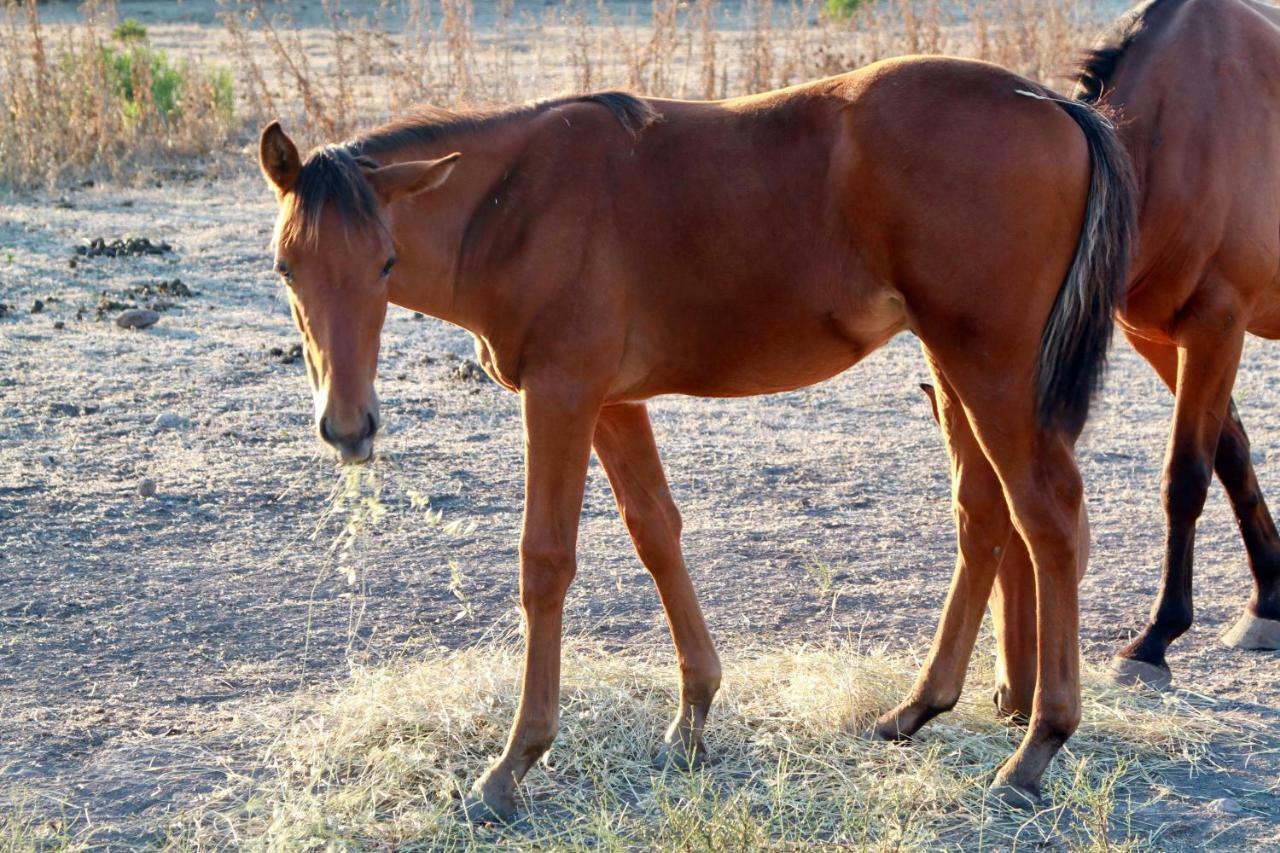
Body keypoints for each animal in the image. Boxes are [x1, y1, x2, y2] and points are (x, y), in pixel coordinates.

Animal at [257, 59, 1131, 819]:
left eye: (385, 262)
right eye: (285, 269)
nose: (348, 426)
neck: (517, 202)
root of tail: (1055, 106)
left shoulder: (561, 394)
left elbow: (545, 561)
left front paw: (513, 764)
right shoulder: (613, 403)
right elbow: (657, 533)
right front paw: (693, 718)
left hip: (990, 370)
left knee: (1048, 518)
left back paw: (1037, 748)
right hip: (954, 365)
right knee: (983, 514)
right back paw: (918, 706)